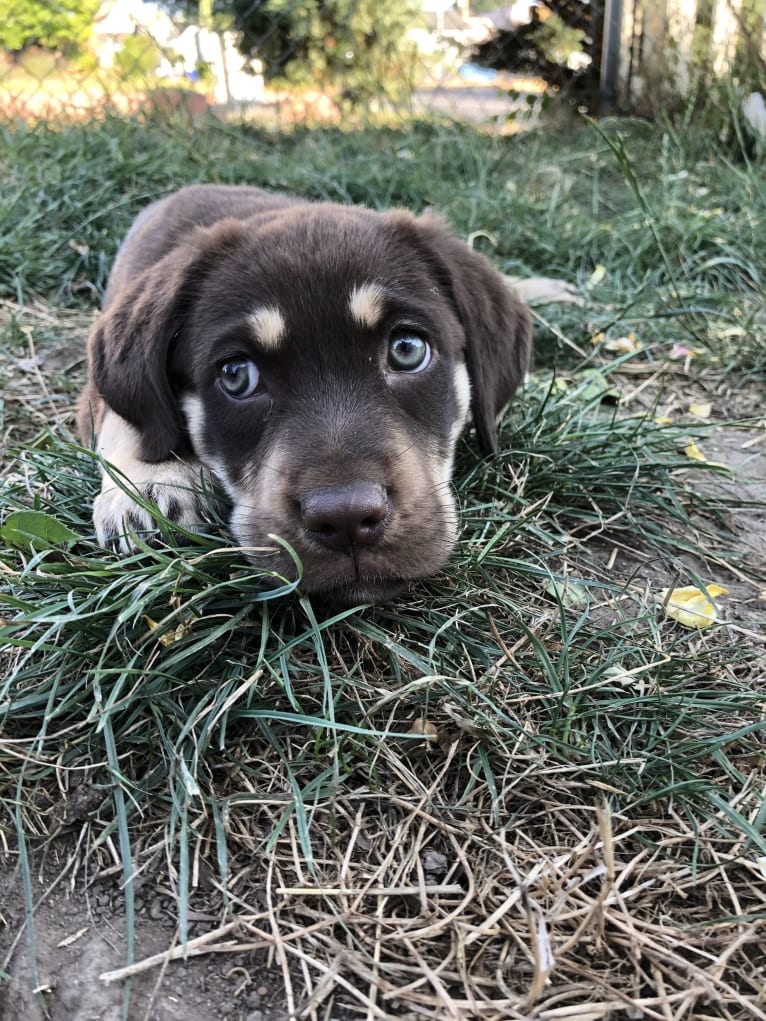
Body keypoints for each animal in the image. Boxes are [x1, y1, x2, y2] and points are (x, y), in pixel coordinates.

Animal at [79, 183, 535, 600]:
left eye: (407, 350)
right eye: (236, 376)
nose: (346, 520)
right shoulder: (93, 396)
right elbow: (126, 421)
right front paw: (151, 485)